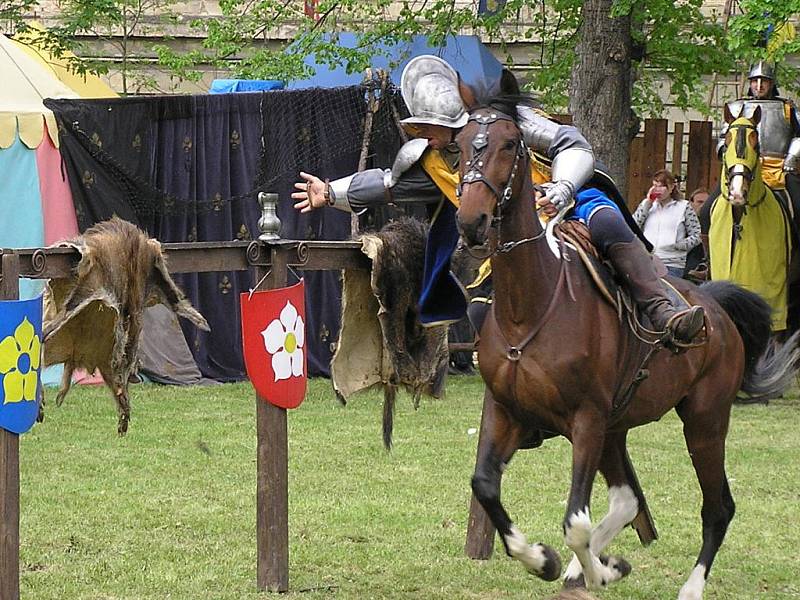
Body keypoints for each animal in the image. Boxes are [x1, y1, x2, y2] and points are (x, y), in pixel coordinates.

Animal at [454, 92, 796, 596]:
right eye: (458, 145)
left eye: (509, 143)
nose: (472, 220)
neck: (530, 307)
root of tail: (713, 307)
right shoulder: (507, 412)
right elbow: (485, 486)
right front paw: (547, 561)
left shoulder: (586, 422)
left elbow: (575, 521)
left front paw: (589, 568)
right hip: (619, 428)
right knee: (627, 500)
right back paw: (590, 567)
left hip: (704, 422)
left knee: (717, 507)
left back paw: (683, 586)